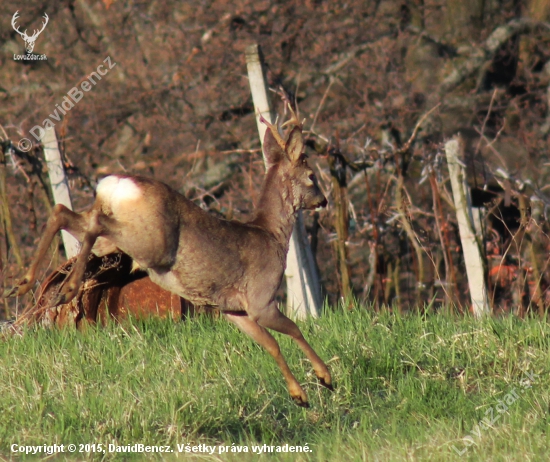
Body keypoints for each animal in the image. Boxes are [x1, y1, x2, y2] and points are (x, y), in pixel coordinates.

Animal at [5, 106, 332, 406]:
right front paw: (323, 378)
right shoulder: (260, 299)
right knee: (94, 222)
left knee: (63, 213)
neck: (272, 235)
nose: (324, 200)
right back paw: (67, 288)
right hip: (149, 242)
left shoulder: (234, 310)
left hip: (116, 241)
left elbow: (270, 344)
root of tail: (115, 184)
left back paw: (23, 284)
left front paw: (300, 393)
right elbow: (294, 330)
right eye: (312, 176)